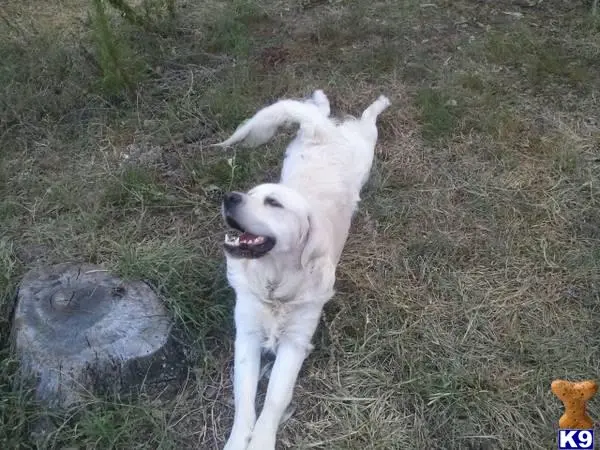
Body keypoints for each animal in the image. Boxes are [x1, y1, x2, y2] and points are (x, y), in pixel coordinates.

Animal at [213, 89, 392, 450]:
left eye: (273, 203)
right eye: (251, 193)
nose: (230, 197)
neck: (275, 281)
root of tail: (324, 132)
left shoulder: (296, 341)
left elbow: (274, 397)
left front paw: (261, 441)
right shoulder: (247, 333)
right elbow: (244, 397)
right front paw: (238, 440)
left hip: (365, 149)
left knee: (366, 120)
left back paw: (379, 103)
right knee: (316, 110)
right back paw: (320, 101)